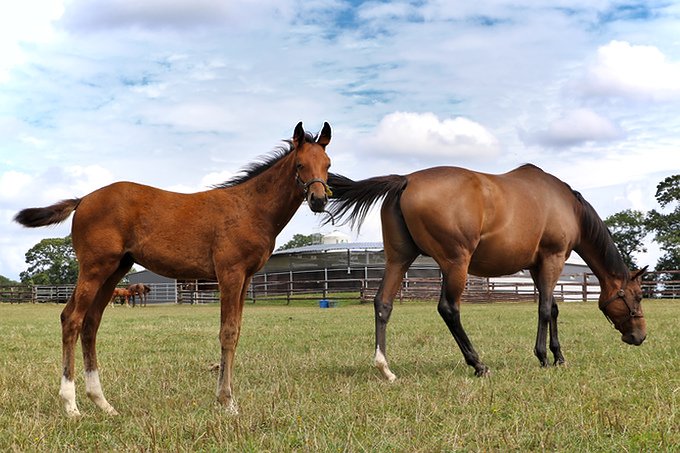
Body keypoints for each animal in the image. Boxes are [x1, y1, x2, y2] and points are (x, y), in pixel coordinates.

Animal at [14, 122, 333, 417]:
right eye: (300, 164)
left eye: (328, 165)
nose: (319, 200)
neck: (250, 207)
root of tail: (82, 200)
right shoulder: (230, 273)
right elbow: (227, 332)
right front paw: (227, 402)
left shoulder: (246, 279)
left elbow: (237, 331)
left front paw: (225, 398)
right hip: (94, 268)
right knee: (72, 319)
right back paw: (71, 405)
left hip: (114, 270)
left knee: (91, 324)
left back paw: (102, 403)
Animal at [326, 164, 647, 381]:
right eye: (638, 296)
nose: (640, 336)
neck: (568, 206)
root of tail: (406, 180)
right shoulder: (552, 259)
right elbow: (544, 309)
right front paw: (544, 357)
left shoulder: (537, 265)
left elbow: (553, 308)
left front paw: (559, 356)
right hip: (456, 263)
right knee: (449, 309)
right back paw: (478, 364)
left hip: (399, 260)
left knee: (383, 304)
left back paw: (386, 368)